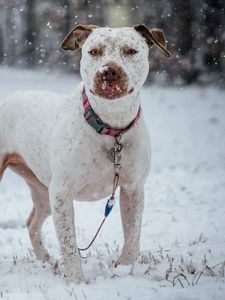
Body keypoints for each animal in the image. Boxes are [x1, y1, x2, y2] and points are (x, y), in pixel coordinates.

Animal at [0, 24, 171, 282]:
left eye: (130, 51)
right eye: (94, 51)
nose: (109, 71)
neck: (111, 126)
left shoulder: (133, 188)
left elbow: (133, 238)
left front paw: (122, 268)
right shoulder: (62, 192)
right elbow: (69, 243)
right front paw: (76, 281)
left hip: (43, 191)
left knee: (32, 223)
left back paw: (45, 259)